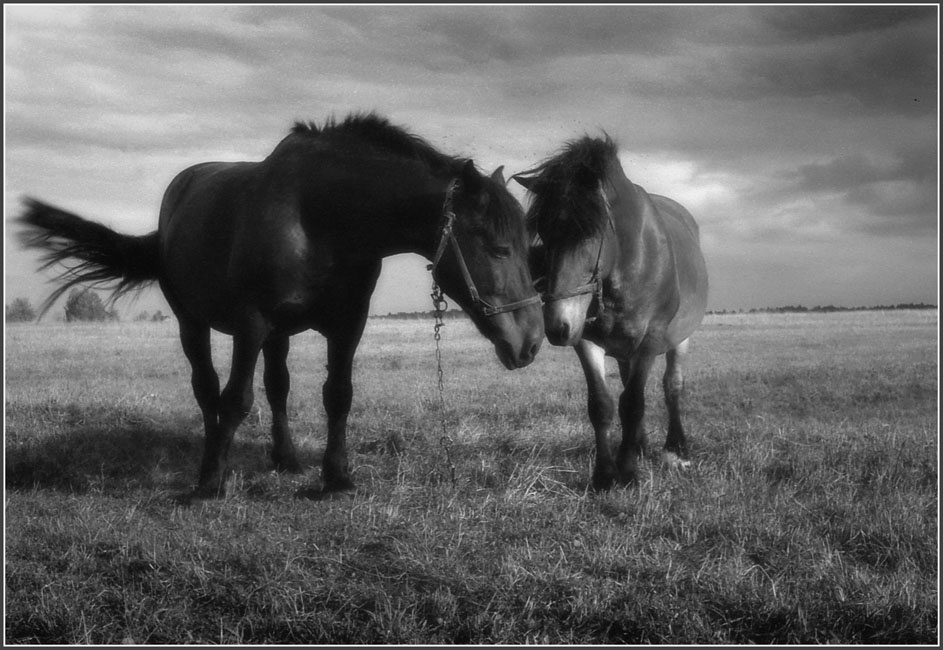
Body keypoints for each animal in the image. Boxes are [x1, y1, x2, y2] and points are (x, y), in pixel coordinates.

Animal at [18, 112, 544, 498]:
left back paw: (285, 458)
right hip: (195, 323)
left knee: (277, 388)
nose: (532, 342)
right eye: (499, 248)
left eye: (526, 245)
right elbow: (235, 399)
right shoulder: (251, 323)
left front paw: (336, 478)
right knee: (208, 390)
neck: (319, 217)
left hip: (279, 336)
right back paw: (212, 459)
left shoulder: (347, 324)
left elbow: (337, 395)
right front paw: (210, 484)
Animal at [512, 135, 708, 491]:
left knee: (672, 387)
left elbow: (632, 404)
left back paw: (676, 449)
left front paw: (627, 474)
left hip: (680, 338)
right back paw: (640, 445)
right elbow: (602, 405)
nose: (557, 325)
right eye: (543, 232)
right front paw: (604, 474)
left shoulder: (650, 341)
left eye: (591, 232)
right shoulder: (587, 341)